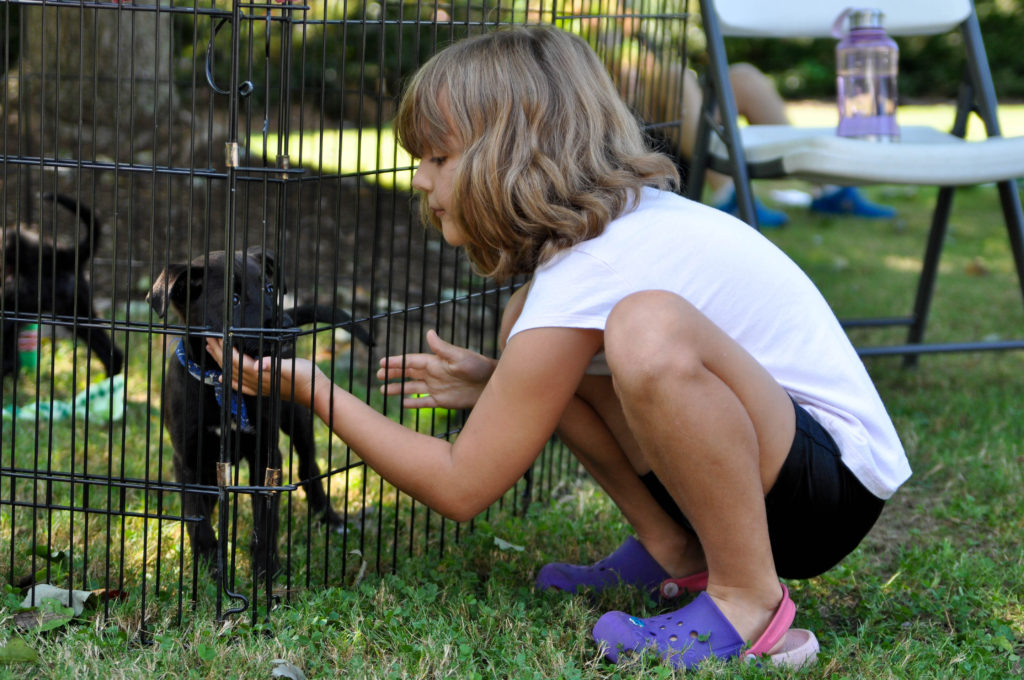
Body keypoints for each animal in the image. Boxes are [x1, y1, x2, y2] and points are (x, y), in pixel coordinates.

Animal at [144, 246, 368, 577]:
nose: (286, 328)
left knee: (309, 467)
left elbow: (266, 517)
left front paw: (264, 567)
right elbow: (196, 515)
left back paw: (330, 519)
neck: (221, 383)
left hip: (297, 417)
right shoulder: (186, 458)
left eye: (270, 289)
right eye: (234, 299)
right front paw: (210, 562)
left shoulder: (266, 453)